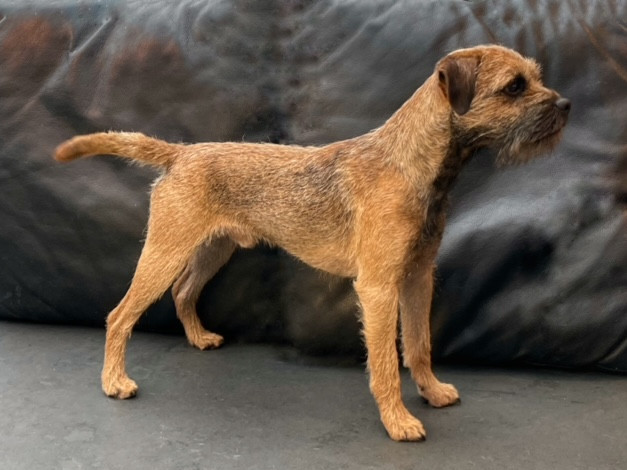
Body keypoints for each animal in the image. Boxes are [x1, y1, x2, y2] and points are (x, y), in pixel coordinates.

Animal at [54, 45, 570, 441]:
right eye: (514, 87)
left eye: (535, 77)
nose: (565, 105)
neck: (410, 163)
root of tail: (180, 154)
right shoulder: (378, 288)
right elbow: (386, 362)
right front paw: (398, 421)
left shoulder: (418, 277)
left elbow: (418, 344)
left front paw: (432, 391)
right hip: (165, 252)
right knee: (120, 315)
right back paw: (115, 381)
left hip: (212, 250)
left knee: (183, 292)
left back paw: (199, 338)